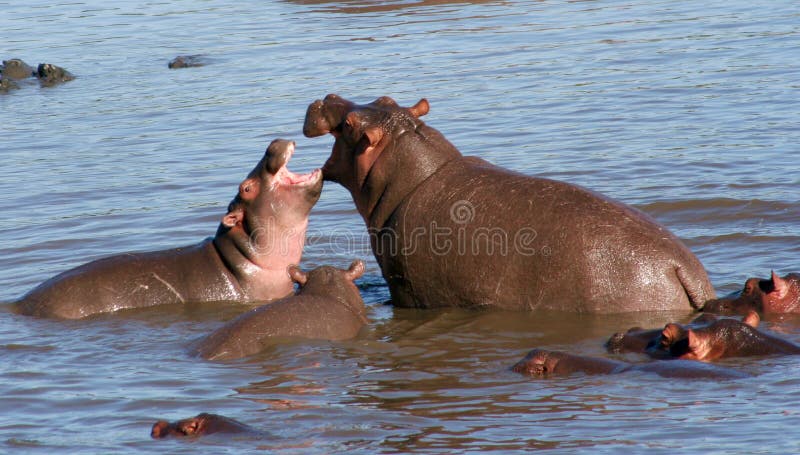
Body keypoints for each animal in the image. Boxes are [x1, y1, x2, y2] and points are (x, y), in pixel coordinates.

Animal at [304, 93, 716, 314]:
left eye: (350, 125)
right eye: (385, 99)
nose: (328, 97)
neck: (413, 171)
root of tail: (684, 269)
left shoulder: (403, 289)